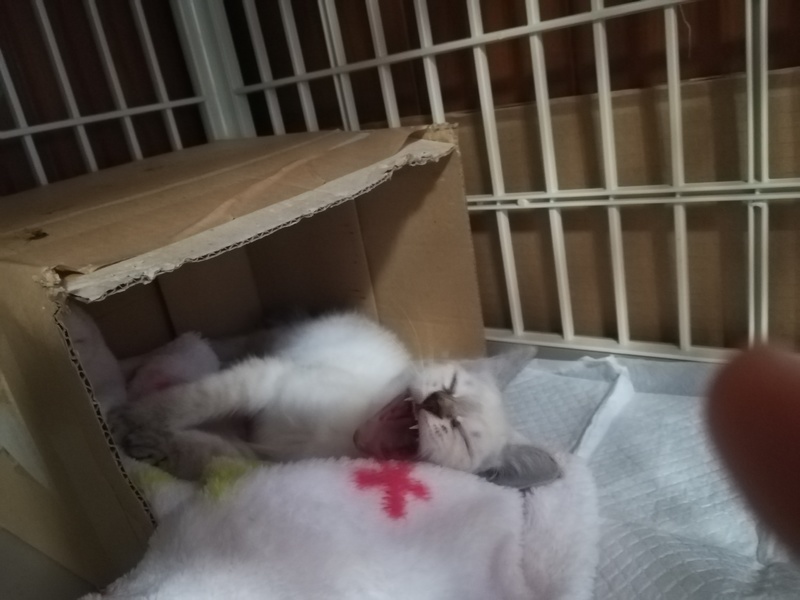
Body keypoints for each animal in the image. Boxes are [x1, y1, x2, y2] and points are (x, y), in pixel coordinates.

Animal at [111, 311, 560, 488]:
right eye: (451, 386)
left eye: (461, 432)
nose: (437, 403)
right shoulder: (269, 377)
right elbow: (196, 398)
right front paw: (134, 418)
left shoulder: (265, 460)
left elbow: (203, 450)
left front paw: (147, 442)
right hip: (275, 343)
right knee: (232, 341)